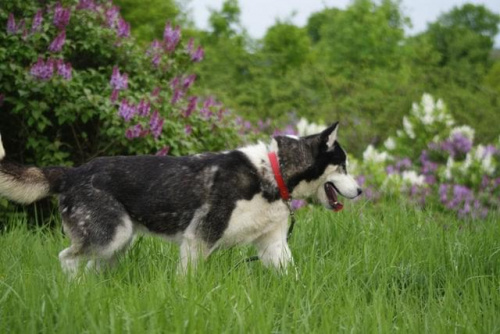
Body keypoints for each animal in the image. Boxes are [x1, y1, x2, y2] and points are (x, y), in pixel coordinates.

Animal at [0, 122, 360, 274]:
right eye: (343, 165)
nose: (359, 191)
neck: (271, 173)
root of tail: (71, 173)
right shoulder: (198, 239)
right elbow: (188, 280)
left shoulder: (273, 246)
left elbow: (292, 277)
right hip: (109, 237)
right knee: (68, 260)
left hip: (117, 244)